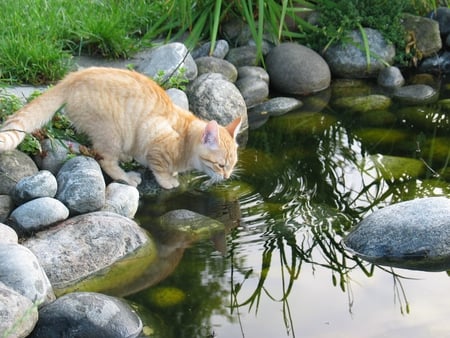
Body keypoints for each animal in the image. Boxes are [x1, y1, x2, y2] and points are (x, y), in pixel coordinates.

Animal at [0, 67, 243, 189]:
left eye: (232, 165)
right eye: (221, 165)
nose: (227, 177)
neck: (184, 139)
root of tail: (70, 78)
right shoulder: (154, 139)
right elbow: (159, 168)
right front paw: (168, 180)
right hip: (111, 132)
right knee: (105, 160)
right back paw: (126, 177)